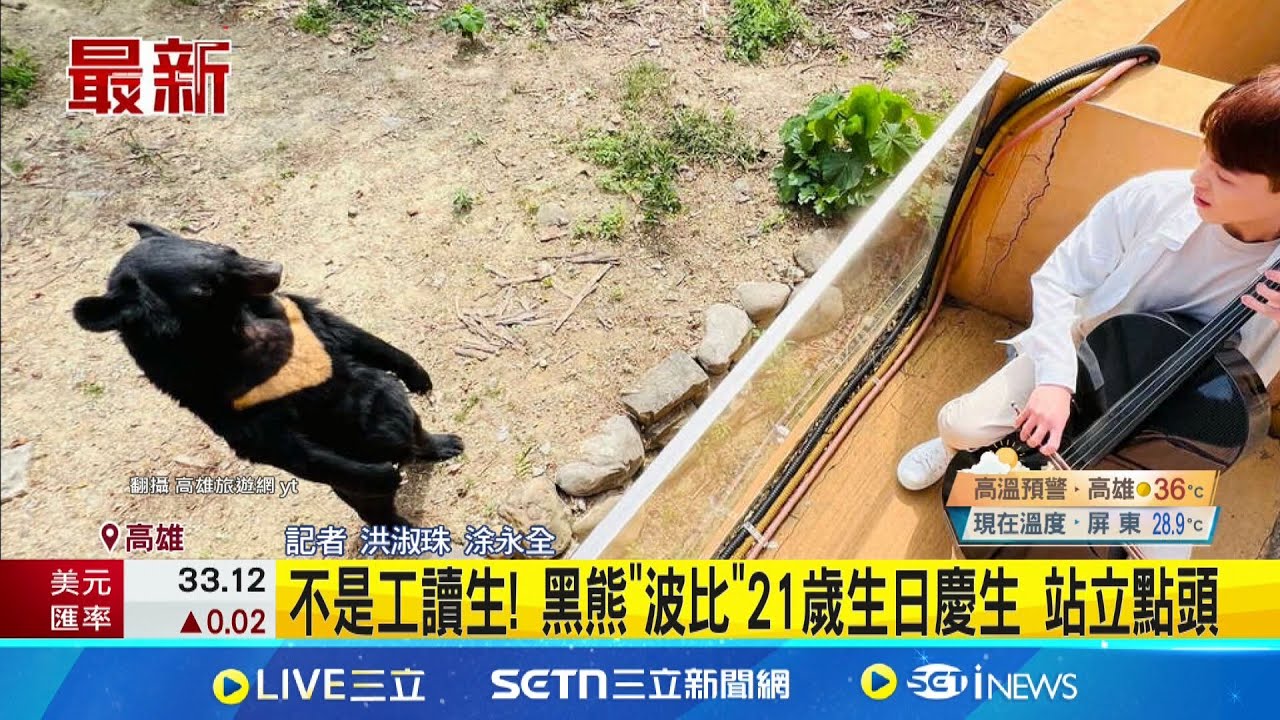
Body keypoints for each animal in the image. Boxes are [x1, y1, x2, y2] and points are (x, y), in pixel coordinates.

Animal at [72, 221, 463, 527]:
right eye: (204, 290)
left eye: (226, 248)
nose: (274, 270)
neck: (232, 329)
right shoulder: (223, 398)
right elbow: (275, 445)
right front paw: (384, 476)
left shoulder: (294, 315)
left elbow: (346, 331)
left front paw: (419, 377)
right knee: (371, 505)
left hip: (395, 410)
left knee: (413, 423)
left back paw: (446, 444)